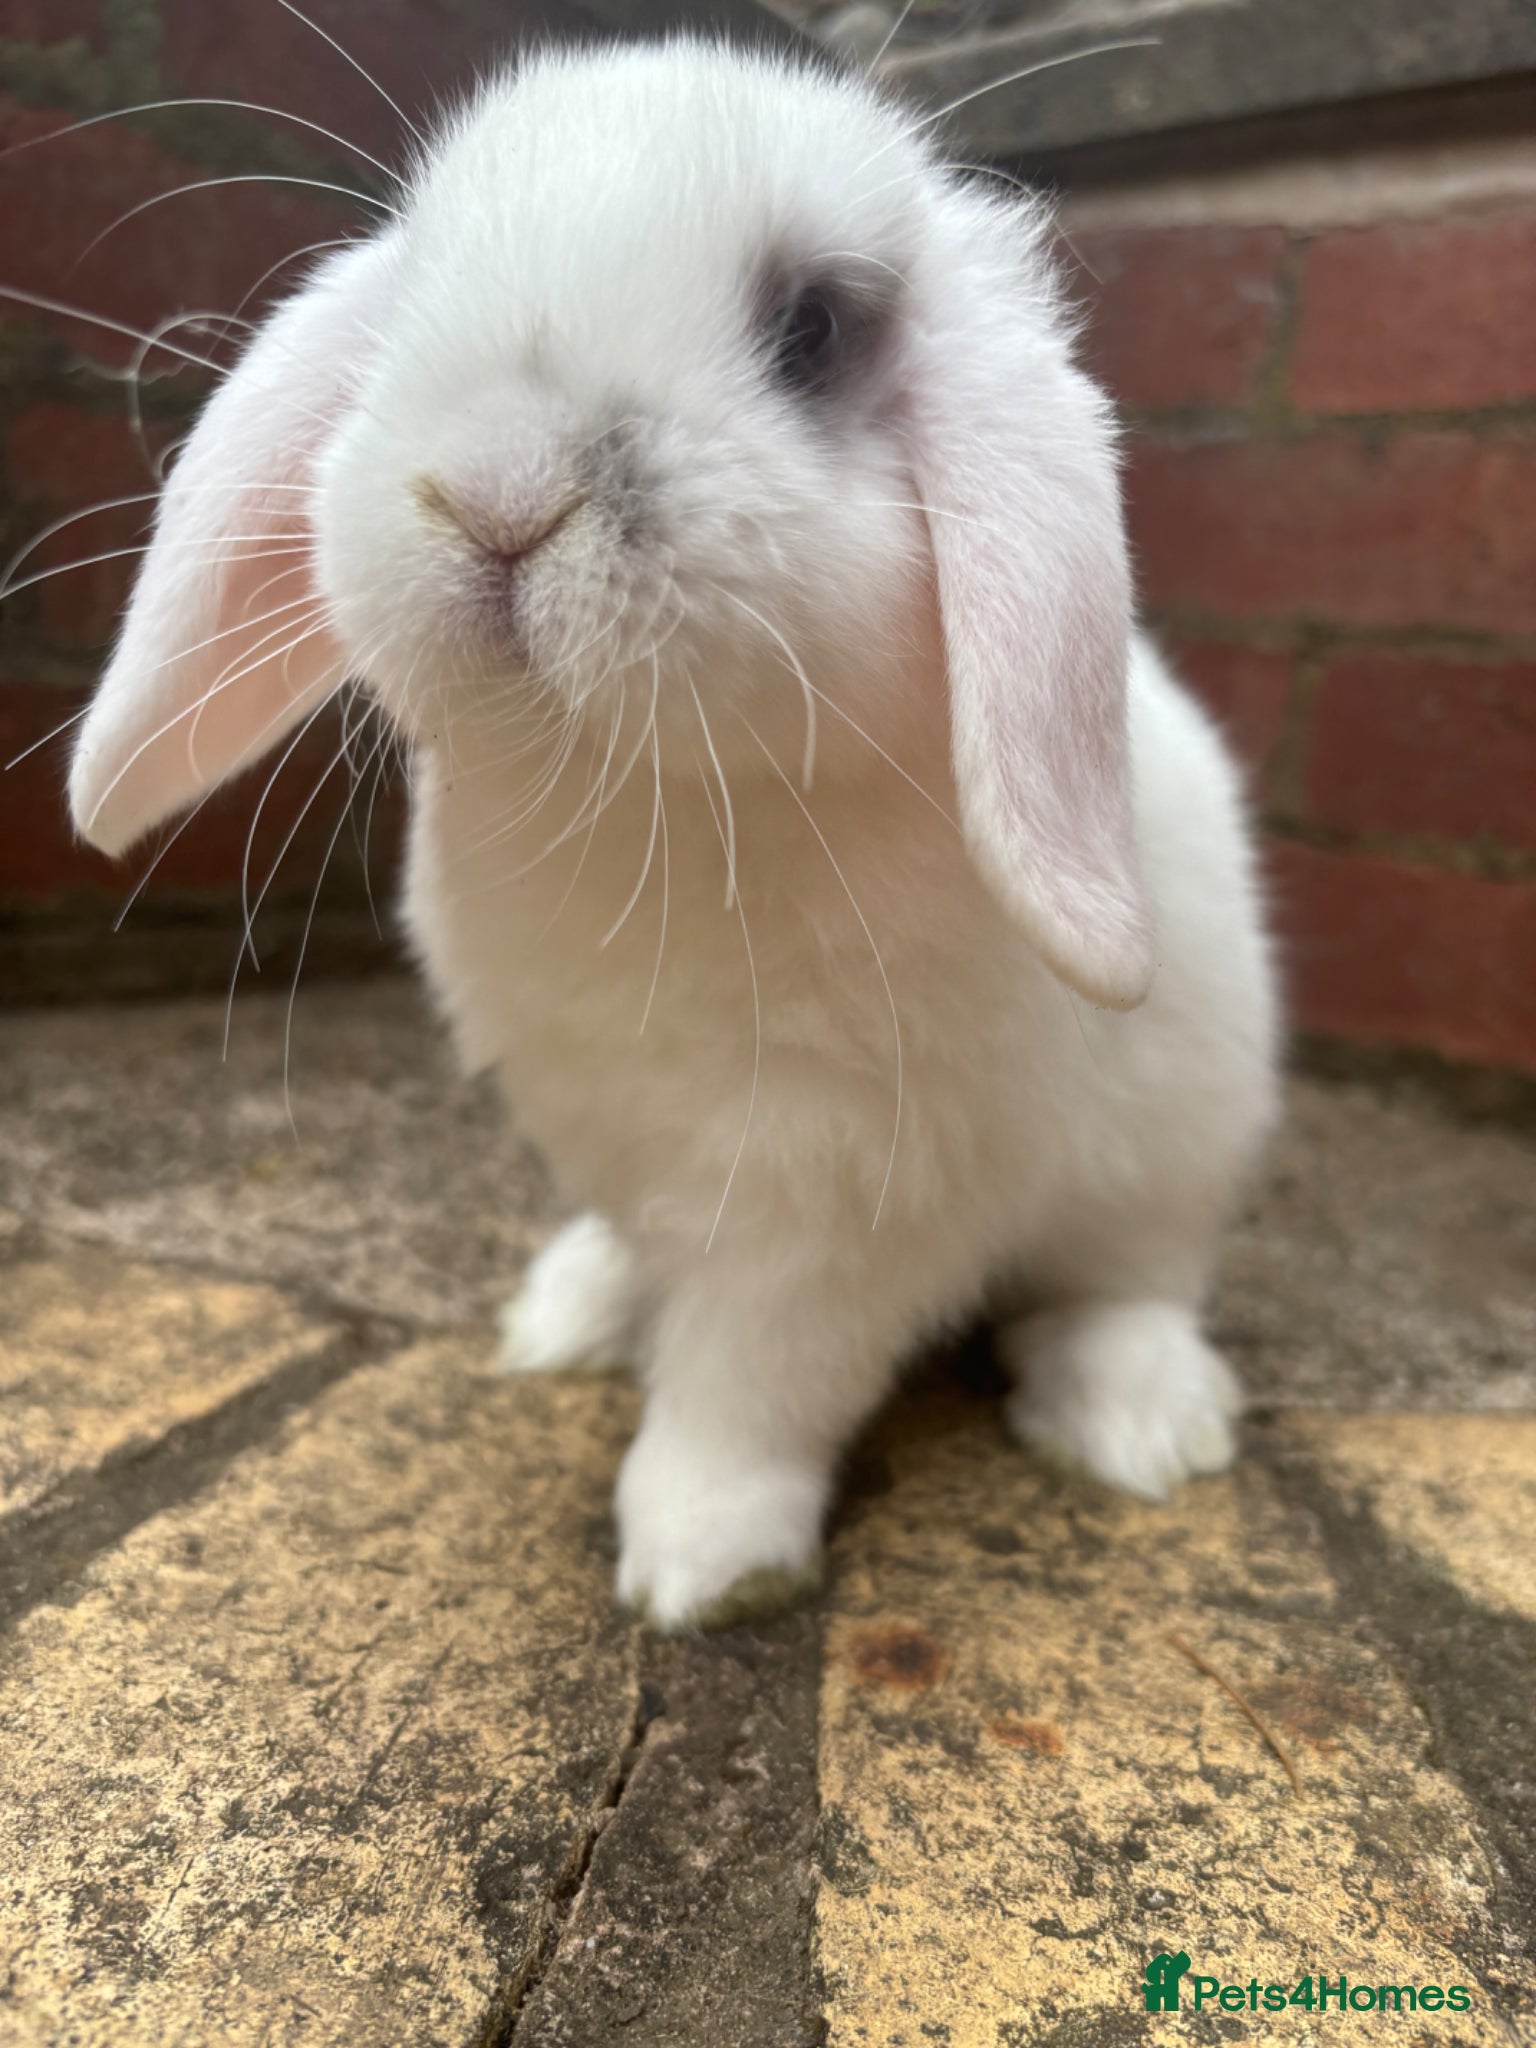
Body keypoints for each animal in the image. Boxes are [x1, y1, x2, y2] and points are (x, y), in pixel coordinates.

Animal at [66, 39, 1279, 1631]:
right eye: (416, 293)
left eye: (814, 328)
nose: (496, 494)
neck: (642, 797)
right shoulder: (596, 1108)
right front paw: (606, 1339)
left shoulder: (841, 1190)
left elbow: (752, 1381)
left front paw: (703, 1568)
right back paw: (567, 1309)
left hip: (1181, 1136)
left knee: (1129, 1280)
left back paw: (1138, 1426)